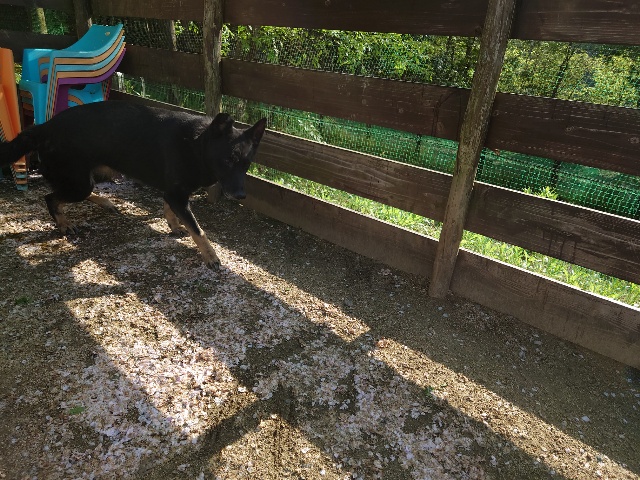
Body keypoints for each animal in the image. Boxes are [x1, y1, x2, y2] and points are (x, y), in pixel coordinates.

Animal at [0, 101, 267, 268]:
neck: (197, 144)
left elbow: (170, 209)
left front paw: (174, 226)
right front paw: (211, 256)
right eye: (228, 160)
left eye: (246, 164)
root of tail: (44, 127)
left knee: (70, 192)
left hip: (92, 176)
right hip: (78, 183)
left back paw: (105, 202)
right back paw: (64, 224)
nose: (241, 195)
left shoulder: (173, 194)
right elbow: (198, 230)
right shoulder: (178, 195)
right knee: (51, 197)